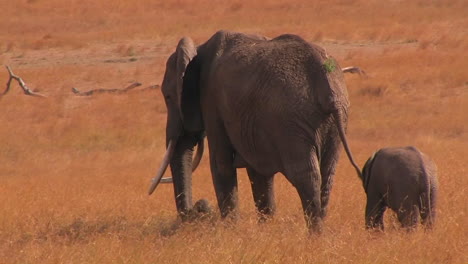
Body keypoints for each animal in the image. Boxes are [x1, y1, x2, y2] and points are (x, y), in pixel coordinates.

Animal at [148, 31, 360, 233]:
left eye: (168, 97)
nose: (199, 207)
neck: (198, 50)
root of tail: (327, 83)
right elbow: (259, 173)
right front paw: (265, 229)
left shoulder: (211, 100)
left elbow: (220, 164)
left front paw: (230, 230)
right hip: (336, 120)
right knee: (328, 173)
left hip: (293, 121)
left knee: (306, 175)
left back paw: (314, 235)